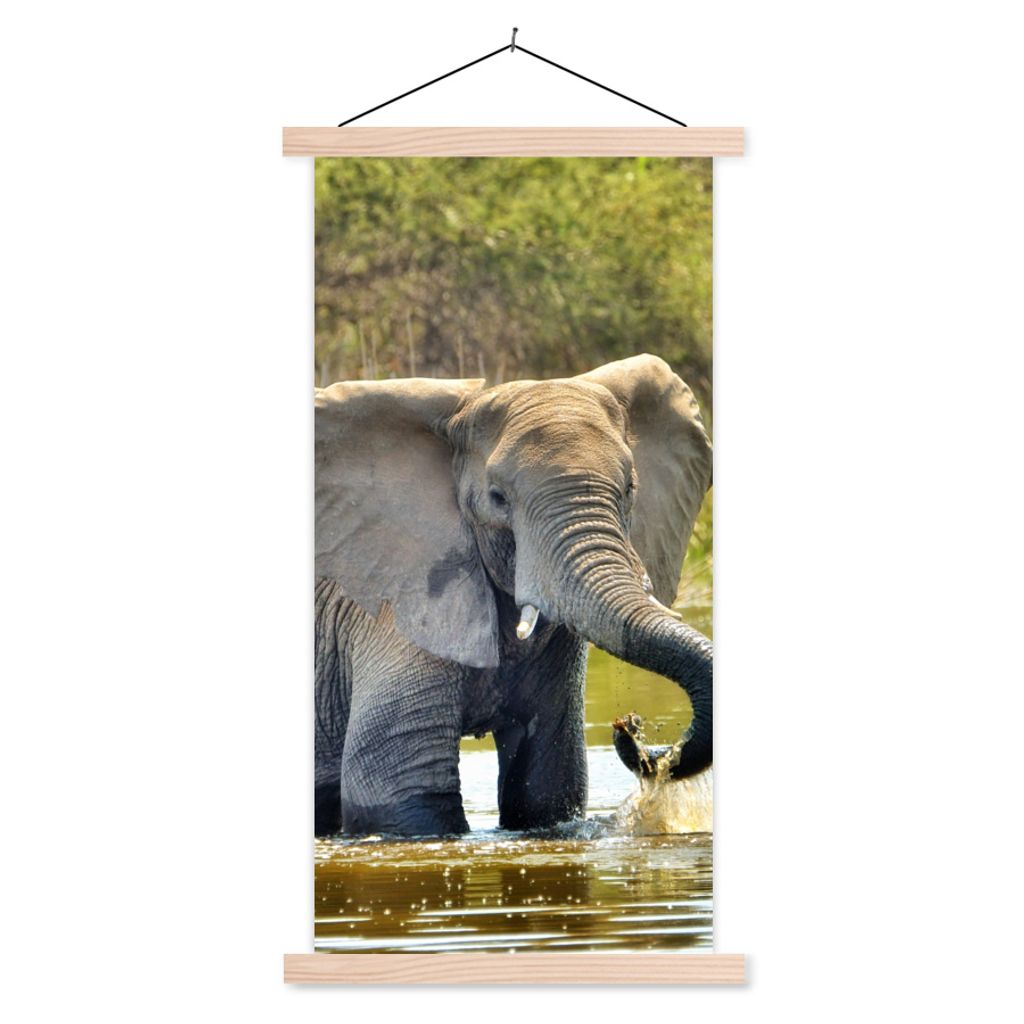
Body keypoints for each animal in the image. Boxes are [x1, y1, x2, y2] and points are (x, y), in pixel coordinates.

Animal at [314, 353, 713, 837]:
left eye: (630, 488)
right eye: (497, 498)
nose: (629, 726)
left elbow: (546, 787)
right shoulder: (392, 603)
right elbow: (402, 793)